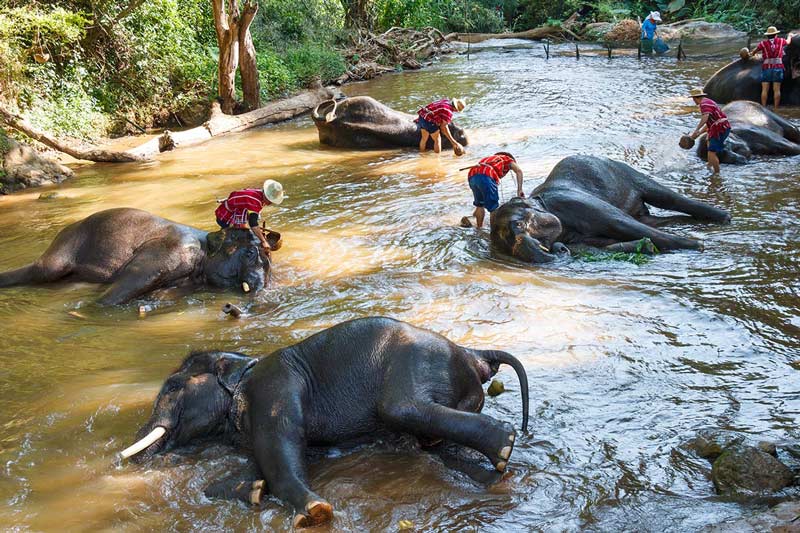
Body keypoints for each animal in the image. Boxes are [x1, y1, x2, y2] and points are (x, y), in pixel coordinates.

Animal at [0, 209, 282, 306]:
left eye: (269, 253)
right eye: (250, 252)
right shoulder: (168, 250)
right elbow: (124, 286)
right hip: (65, 244)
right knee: (45, 269)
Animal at [119, 316, 528, 528]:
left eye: (172, 387)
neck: (244, 364)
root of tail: (473, 354)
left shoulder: (274, 387)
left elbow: (280, 446)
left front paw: (315, 512)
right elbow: (270, 457)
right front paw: (252, 489)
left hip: (412, 365)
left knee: (401, 408)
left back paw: (505, 444)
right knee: (433, 442)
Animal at [488, 154, 732, 262]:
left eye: (519, 224)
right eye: (507, 241)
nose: (556, 248)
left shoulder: (571, 201)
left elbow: (620, 223)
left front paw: (698, 245)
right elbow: (601, 245)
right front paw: (647, 247)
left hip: (624, 172)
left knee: (664, 198)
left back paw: (724, 218)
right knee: (654, 220)